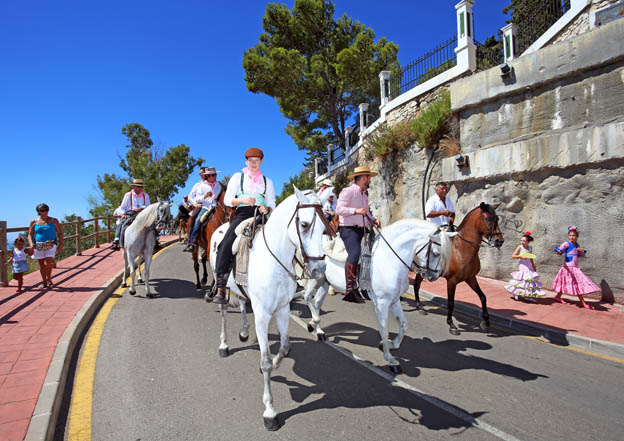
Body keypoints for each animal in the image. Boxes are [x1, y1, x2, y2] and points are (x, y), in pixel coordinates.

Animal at [208, 186, 330, 430]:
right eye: (304, 224)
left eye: (324, 228)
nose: (319, 270)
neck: (274, 261)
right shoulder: (264, 315)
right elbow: (265, 362)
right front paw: (270, 412)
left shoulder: (282, 309)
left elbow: (284, 348)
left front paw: (275, 362)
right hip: (222, 287)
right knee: (224, 313)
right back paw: (224, 345)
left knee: (243, 303)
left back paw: (244, 332)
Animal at [298, 217, 454, 372]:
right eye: (436, 253)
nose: (434, 276)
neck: (390, 260)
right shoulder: (382, 302)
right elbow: (384, 330)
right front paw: (390, 359)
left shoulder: (394, 300)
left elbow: (403, 324)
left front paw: (392, 344)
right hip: (315, 278)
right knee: (307, 296)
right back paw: (314, 322)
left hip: (325, 282)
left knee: (317, 302)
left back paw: (317, 329)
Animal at [412, 202, 504, 334]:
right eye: (487, 219)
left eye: (497, 219)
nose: (499, 241)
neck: (460, 249)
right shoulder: (451, 280)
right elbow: (451, 302)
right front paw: (451, 324)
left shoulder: (471, 278)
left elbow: (483, 297)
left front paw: (485, 322)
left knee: (416, 285)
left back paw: (419, 307)